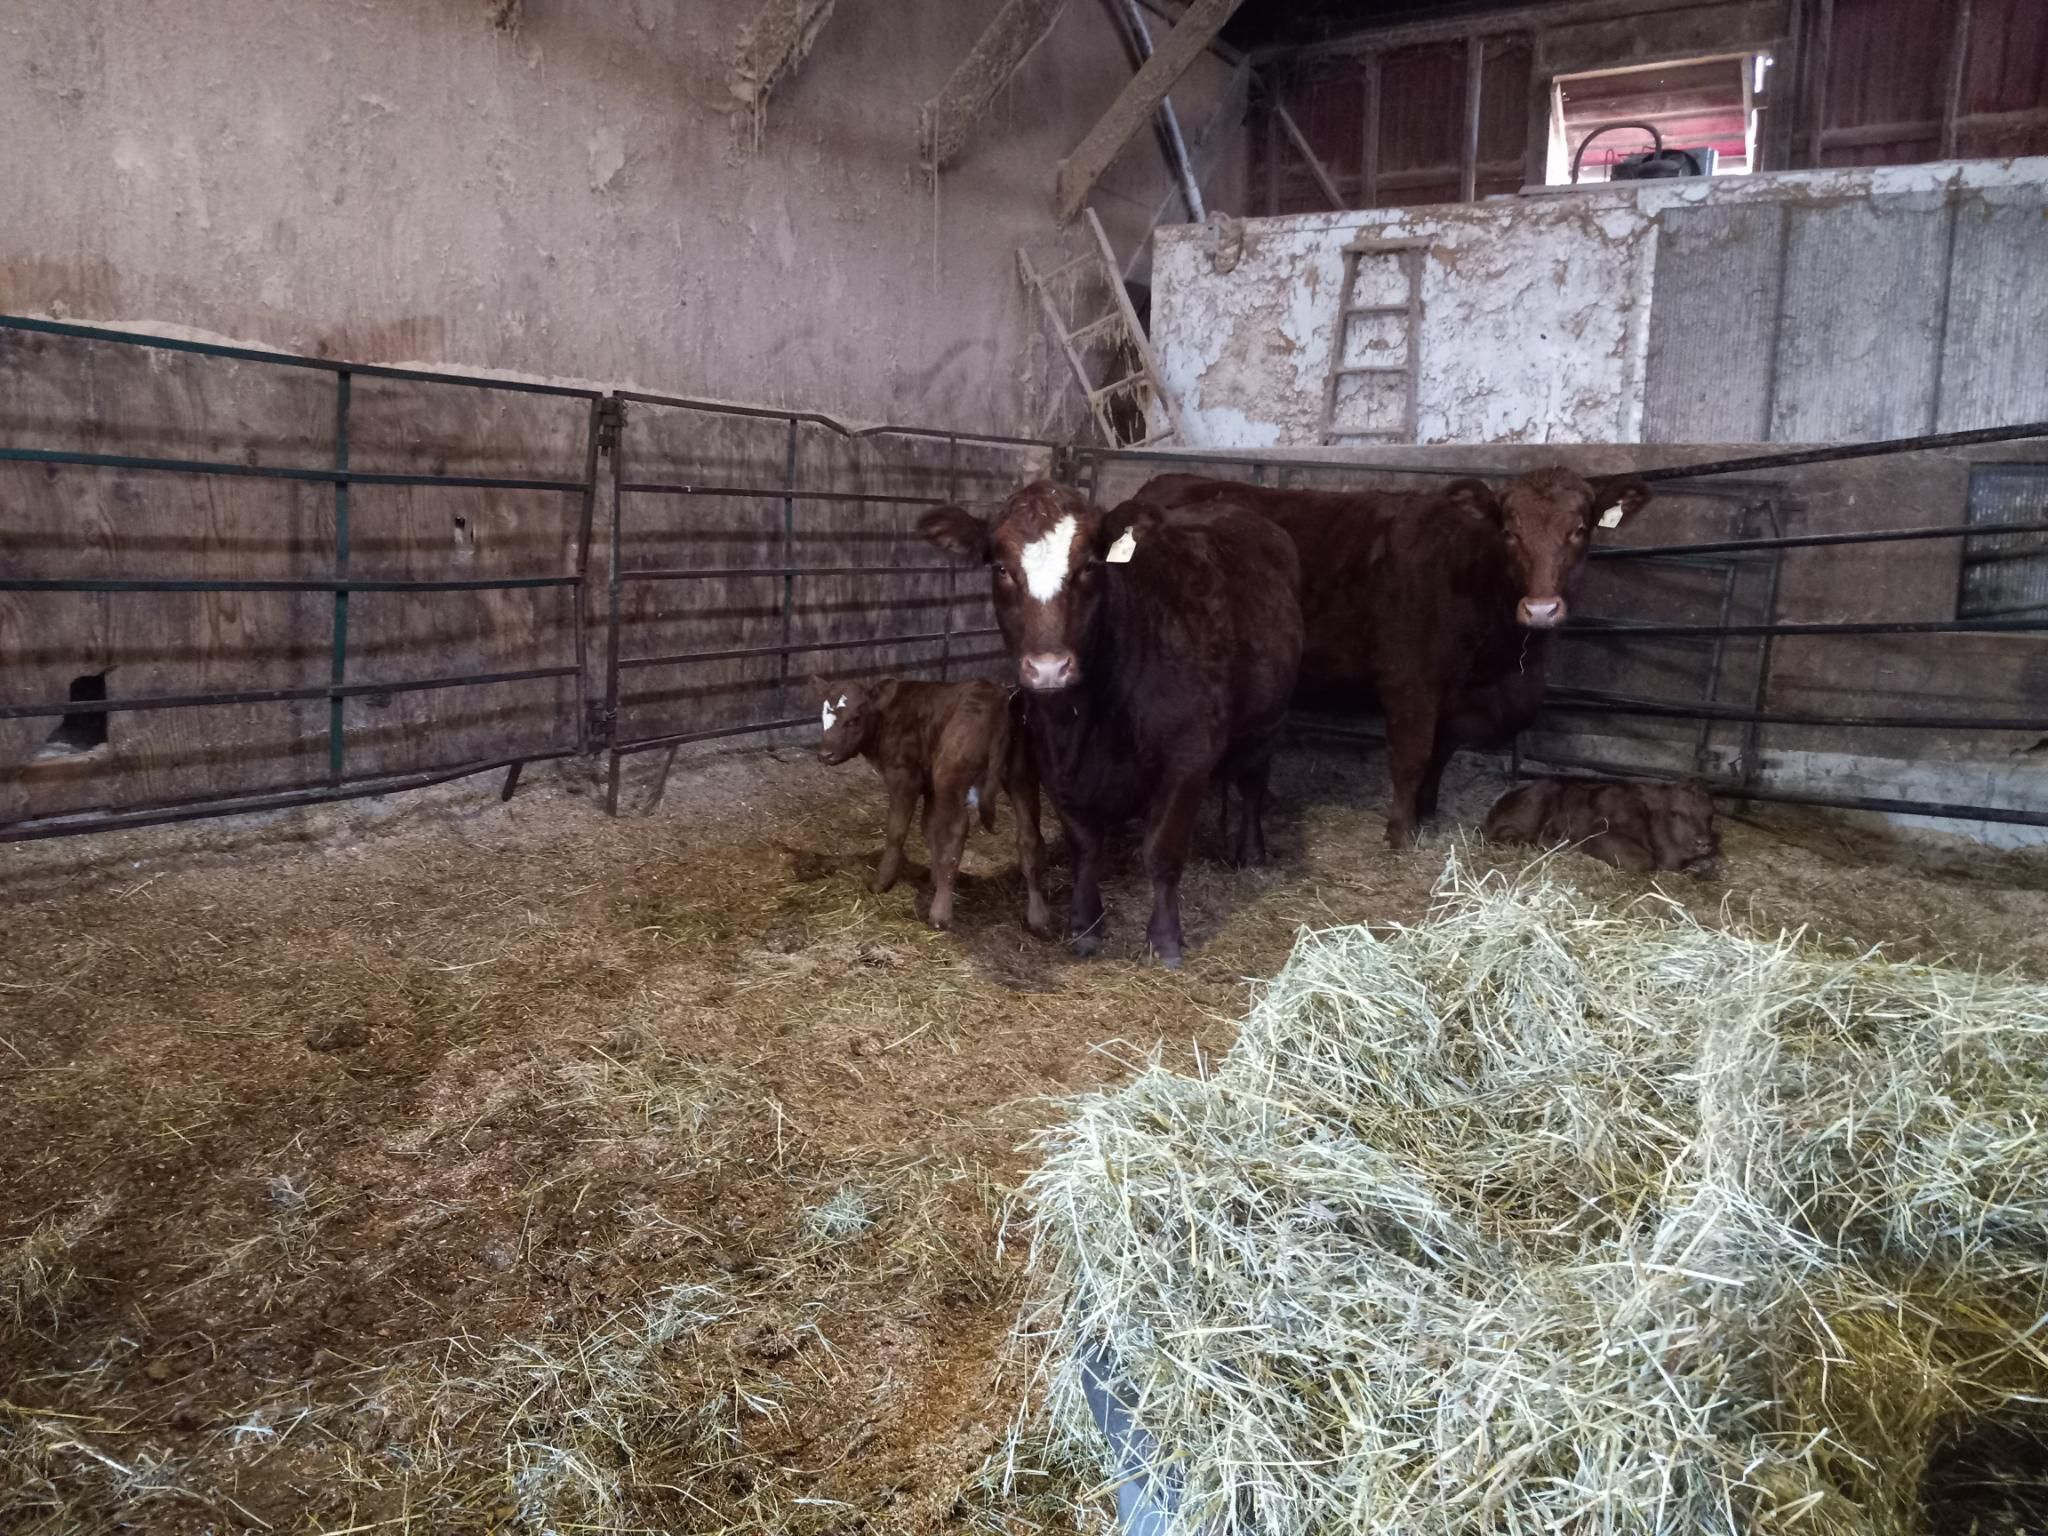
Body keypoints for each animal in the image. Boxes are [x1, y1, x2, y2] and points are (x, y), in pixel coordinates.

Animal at [814, 676, 1050, 936]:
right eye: (822, 717)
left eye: (855, 718)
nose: (825, 754)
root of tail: (995, 697)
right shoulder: (929, 784)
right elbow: (930, 828)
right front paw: (936, 879)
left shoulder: (903, 776)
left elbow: (897, 831)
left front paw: (881, 882)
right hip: (1022, 774)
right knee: (1029, 837)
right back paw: (1038, 918)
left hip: (950, 774)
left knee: (957, 830)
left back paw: (940, 914)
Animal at [919, 481, 1303, 968]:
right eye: (1002, 568)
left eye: (1088, 565)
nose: (1048, 668)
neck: (1092, 717)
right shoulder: (1054, 765)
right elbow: (1085, 847)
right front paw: (1084, 926)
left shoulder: (1188, 759)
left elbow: (1162, 852)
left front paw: (1165, 939)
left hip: (1267, 720)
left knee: (1252, 781)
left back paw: (1251, 852)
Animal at [1131, 467, 1652, 848]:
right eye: (1509, 531)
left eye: (1579, 530)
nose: (1541, 608)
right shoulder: (1409, 681)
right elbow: (1411, 755)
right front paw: (1400, 831)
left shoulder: (1456, 697)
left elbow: (1440, 754)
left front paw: (1427, 811)